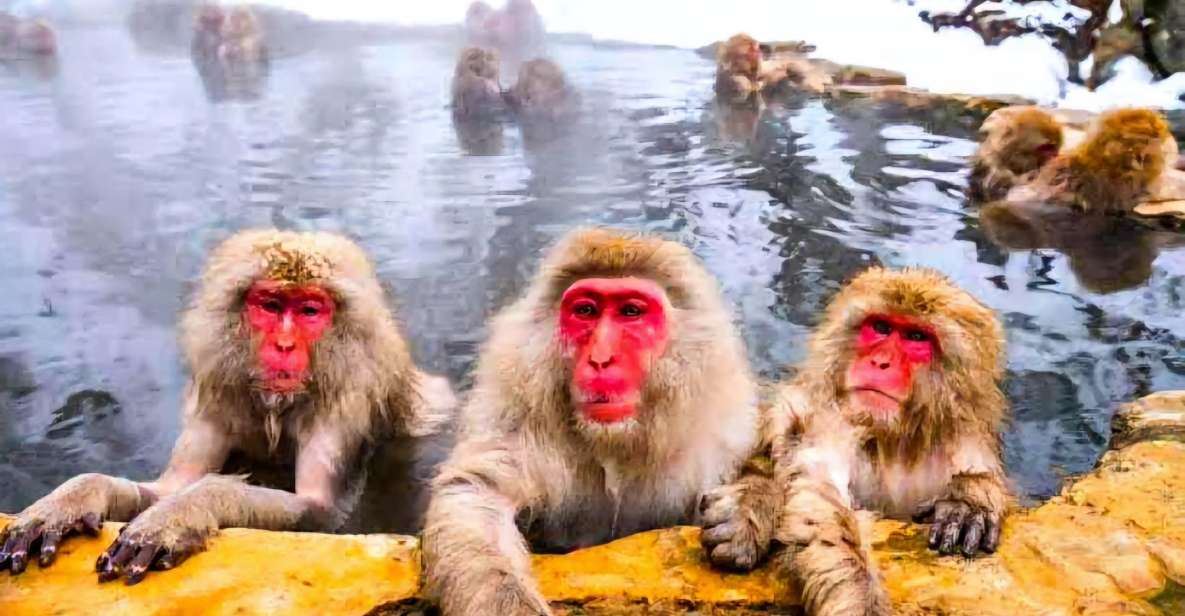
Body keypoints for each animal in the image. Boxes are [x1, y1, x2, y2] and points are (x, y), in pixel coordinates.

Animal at [0, 230, 455, 584]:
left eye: (309, 310)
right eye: (271, 306)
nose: (284, 346)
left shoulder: (346, 403)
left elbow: (323, 513)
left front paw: (183, 512)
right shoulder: (219, 393)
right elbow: (167, 486)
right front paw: (73, 498)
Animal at [422, 228, 761, 616]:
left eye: (631, 312)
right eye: (586, 311)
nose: (600, 359)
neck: (614, 442)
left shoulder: (725, 438)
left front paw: (749, 509)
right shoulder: (517, 418)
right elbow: (476, 495)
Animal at [701, 267, 1009, 616]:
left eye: (917, 337)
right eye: (881, 328)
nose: (880, 362)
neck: (893, 441)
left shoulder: (963, 439)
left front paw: (968, 500)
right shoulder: (831, 421)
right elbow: (822, 506)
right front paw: (864, 601)